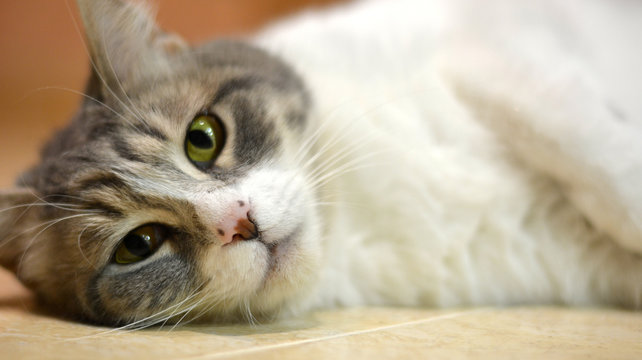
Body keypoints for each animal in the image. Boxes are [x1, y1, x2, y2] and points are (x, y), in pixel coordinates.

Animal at [1, 0, 640, 326]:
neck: (357, 213)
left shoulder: (498, 52)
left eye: (202, 138)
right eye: (140, 244)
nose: (239, 223)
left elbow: (597, 160)